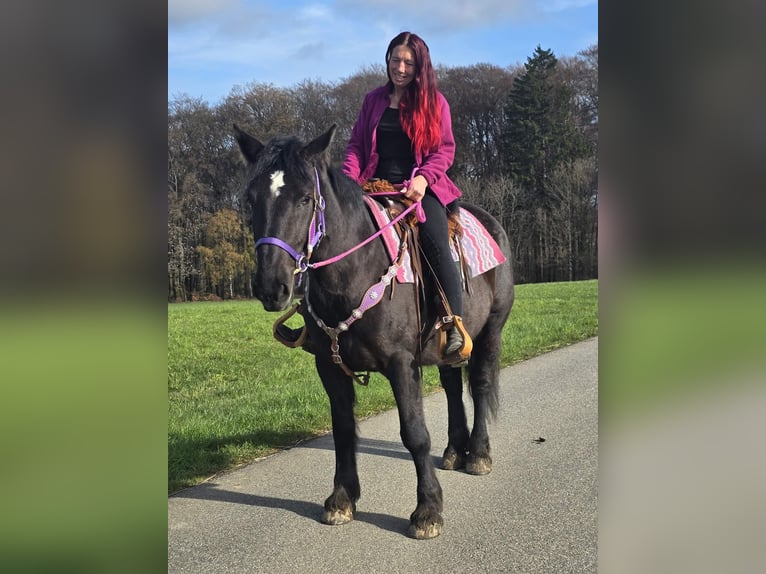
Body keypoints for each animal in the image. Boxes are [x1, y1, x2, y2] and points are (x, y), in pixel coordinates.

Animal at [233, 124, 514, 539]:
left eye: (305, 198)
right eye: (251, 199)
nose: (272, 287)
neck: (354, 271)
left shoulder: (401, 364)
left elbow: (414, 433)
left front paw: (428, 510)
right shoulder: (329, 367)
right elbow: (343, 431)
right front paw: (341, 500)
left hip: (490, 331)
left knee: (478, 384)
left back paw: (477, 453)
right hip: (445, 347)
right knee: (451, 386)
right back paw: (454, 451)